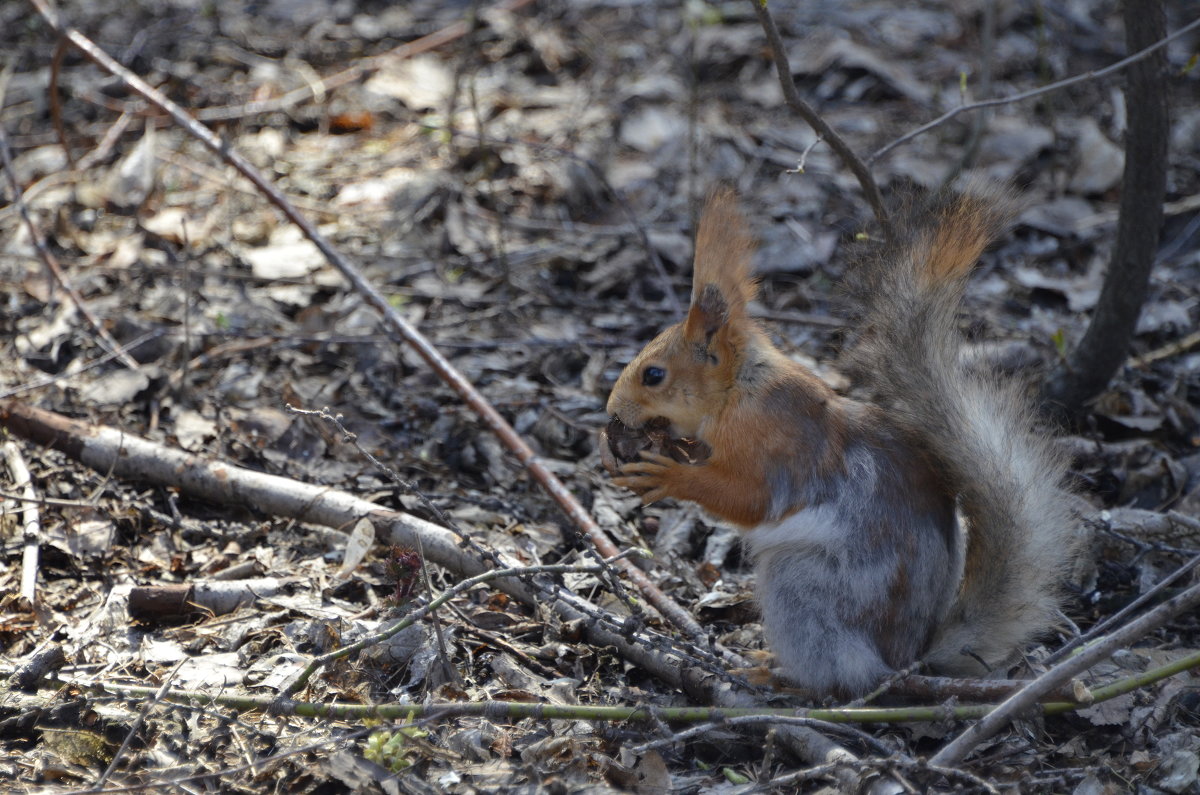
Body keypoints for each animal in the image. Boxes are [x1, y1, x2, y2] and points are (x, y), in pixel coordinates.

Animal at [604, 184, 1084, 696]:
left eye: (654, 375)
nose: (612, 412)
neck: (740, 391)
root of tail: (905, 661)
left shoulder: (777, 446)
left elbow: (751, 499)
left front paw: (671, 475)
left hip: (805, 588)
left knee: (837, 678)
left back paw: (779, 676)